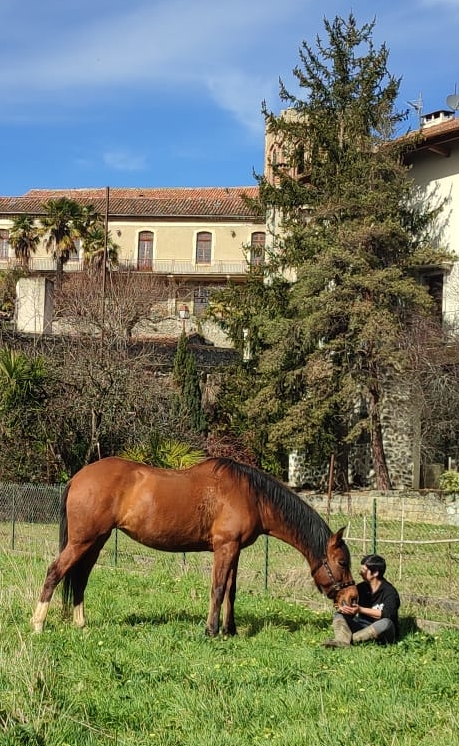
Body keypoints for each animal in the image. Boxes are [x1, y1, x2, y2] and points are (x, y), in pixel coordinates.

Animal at [32, 456, 357, 635]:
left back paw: (80, 624)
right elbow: (218, 589)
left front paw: (230, 629)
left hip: (95, 542)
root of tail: (77, 477)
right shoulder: (225, 547)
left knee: (80, 578)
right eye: (342, 562)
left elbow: (231, 591)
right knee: (54, 572)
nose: (352, 598)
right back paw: (38, 624)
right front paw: (211, 630)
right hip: (82, 541)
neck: (252, 495)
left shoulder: (234, 550)